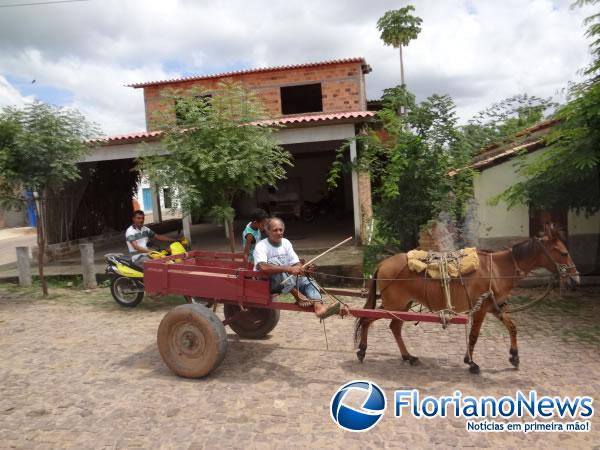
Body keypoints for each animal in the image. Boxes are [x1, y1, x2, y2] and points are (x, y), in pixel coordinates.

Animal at [354, 223, 580, 374]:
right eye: (563, 252)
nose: (576, 279)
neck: (498, 268)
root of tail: (383, 263)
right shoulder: (482, 308)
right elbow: (474, 335)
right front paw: (471, 362)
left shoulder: (495, 306)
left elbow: (512, 327)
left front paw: (514, 356)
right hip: (394, 304)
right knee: (367, 318)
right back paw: (362, 351)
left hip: (401, 305)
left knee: (393, 327)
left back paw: (407, 357)